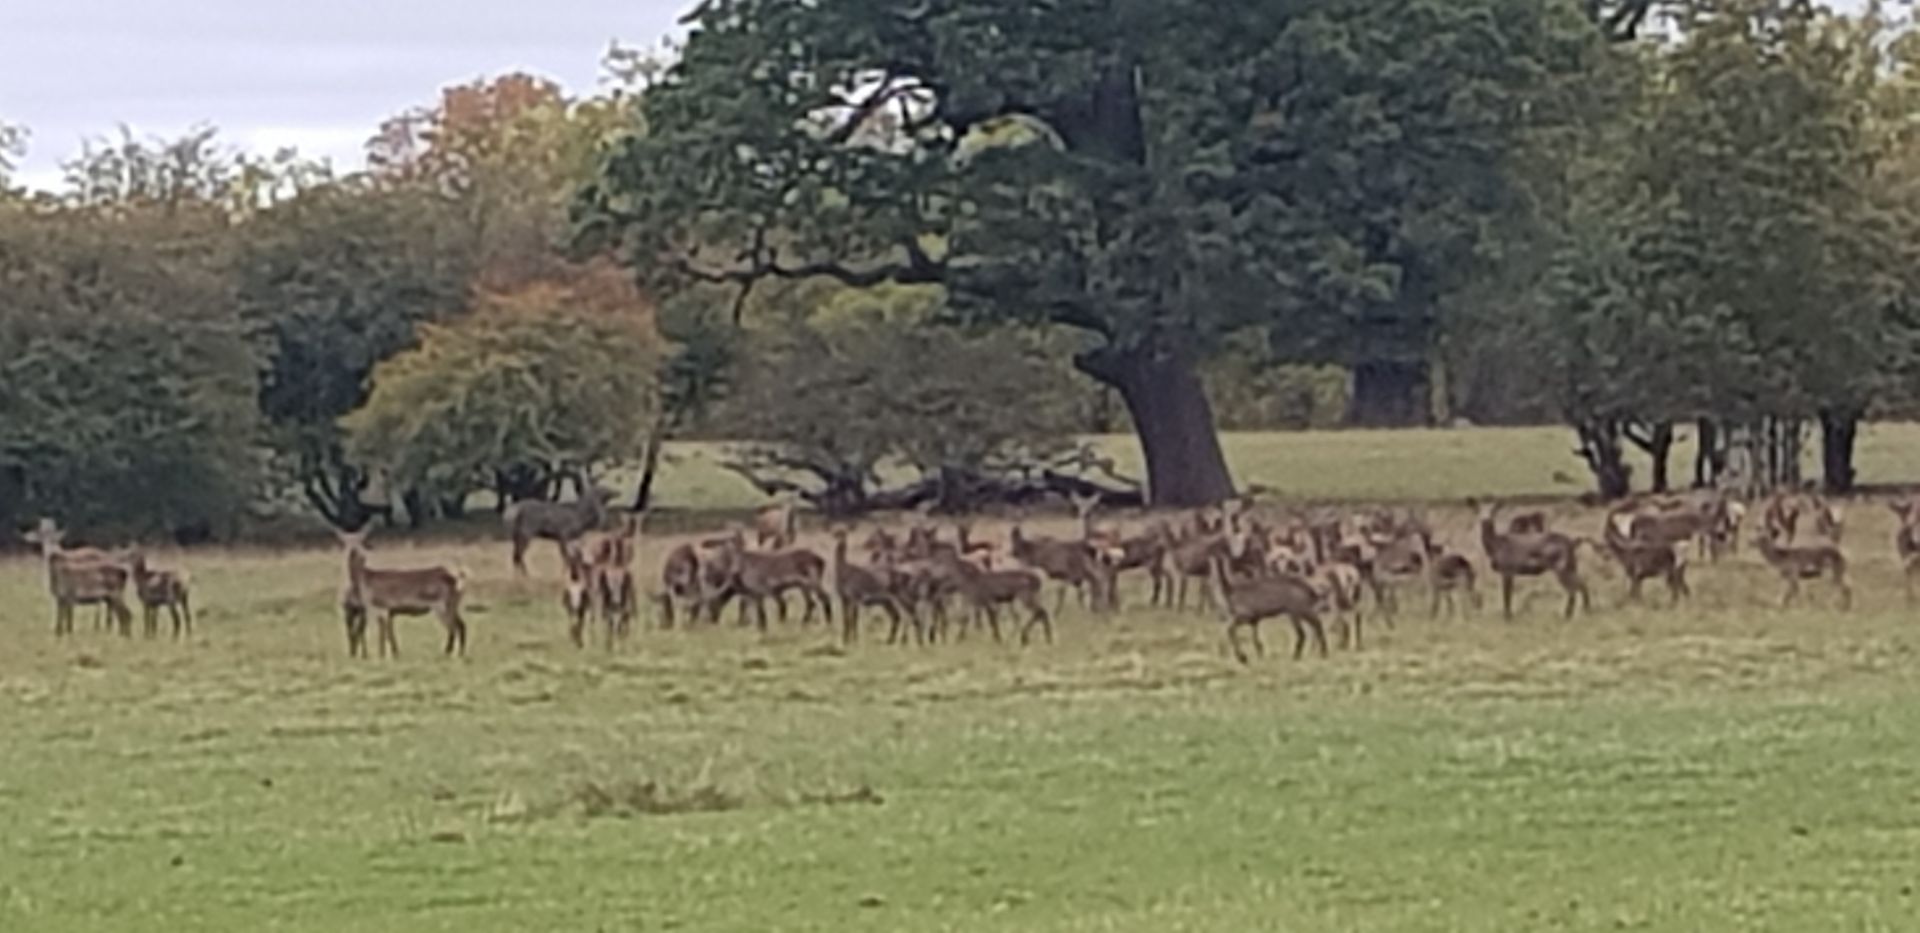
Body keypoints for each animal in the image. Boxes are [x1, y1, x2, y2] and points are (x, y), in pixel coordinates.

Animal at [337, 528, 468, 657]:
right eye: (345, 543)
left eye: (361, 542)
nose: (354, 553)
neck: (366, 578)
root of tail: (453, 578)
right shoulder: (387, 612)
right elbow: (387, 632)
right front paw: (392, 654)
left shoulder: (380, 608)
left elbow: (383, 633)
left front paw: (383, 655)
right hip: (452, 606)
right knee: (461, 625)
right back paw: (460, 653)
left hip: (441, 607)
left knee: (452, 628)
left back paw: (446, 653)